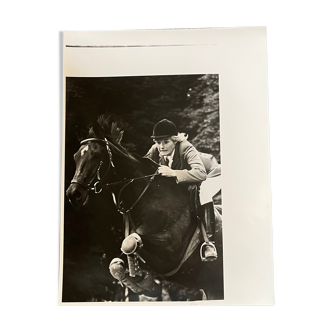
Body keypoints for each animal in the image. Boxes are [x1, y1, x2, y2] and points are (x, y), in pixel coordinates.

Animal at [66, 116, 224, 300]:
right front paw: (143, 283)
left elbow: (129, 243)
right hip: (213, 289)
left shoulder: (171, 251)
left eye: (96, 155)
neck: (150, 200)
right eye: (75, 157)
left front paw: (145, 282)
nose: (73, 194)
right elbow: (116, 262)